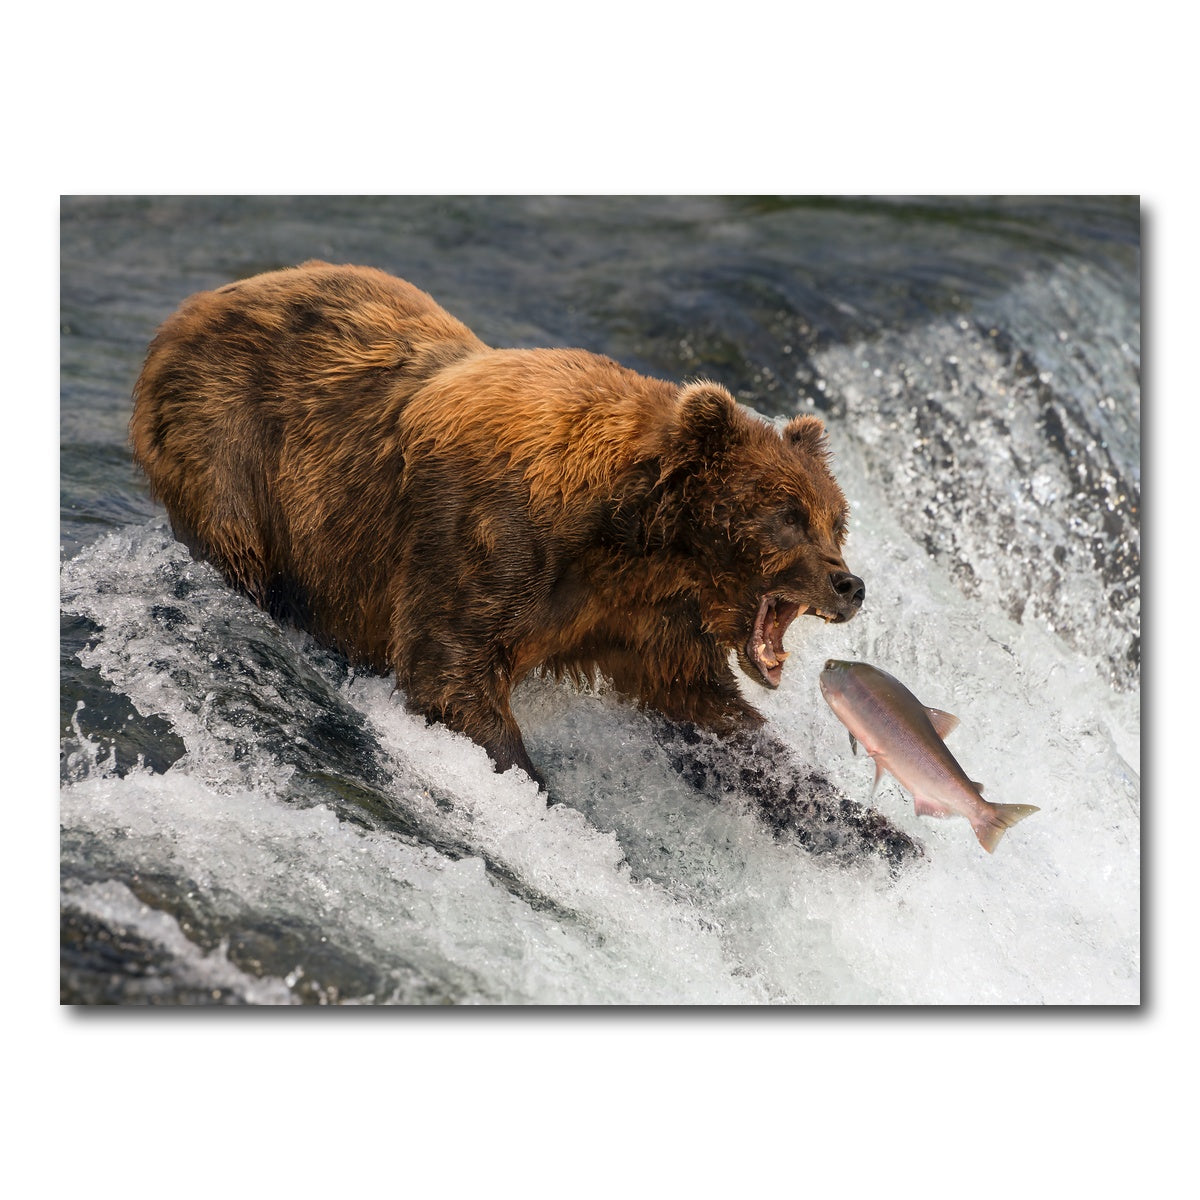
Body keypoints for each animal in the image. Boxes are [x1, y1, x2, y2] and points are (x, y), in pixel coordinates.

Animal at [131, 262, 917, 864]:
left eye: (835, 518)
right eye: (787, 514)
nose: (849, 583)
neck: (632, 538)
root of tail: (193, 307)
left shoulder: (641, 618)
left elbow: (709, 715)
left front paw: (875, 831)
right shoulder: (487, 538)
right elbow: (451, 672)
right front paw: (541, 797)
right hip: (233, 449)